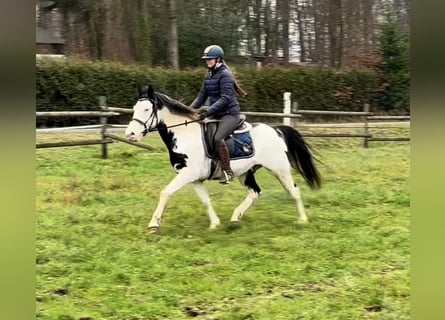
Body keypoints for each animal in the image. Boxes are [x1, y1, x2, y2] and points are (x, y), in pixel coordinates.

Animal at [124, 85, 320, 232]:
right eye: (134, 109)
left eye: (147, 109)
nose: (130, 134)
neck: (184, 134)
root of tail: (276, 129)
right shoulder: (195, 178)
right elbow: (205, 200)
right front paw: (215, 224)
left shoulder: (187, 175)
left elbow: (166, 193)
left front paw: (154, 224)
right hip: (245, 173)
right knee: (255, 193)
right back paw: (236, 217)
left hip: (279, 169)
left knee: (294, 191)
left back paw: (302, 220)